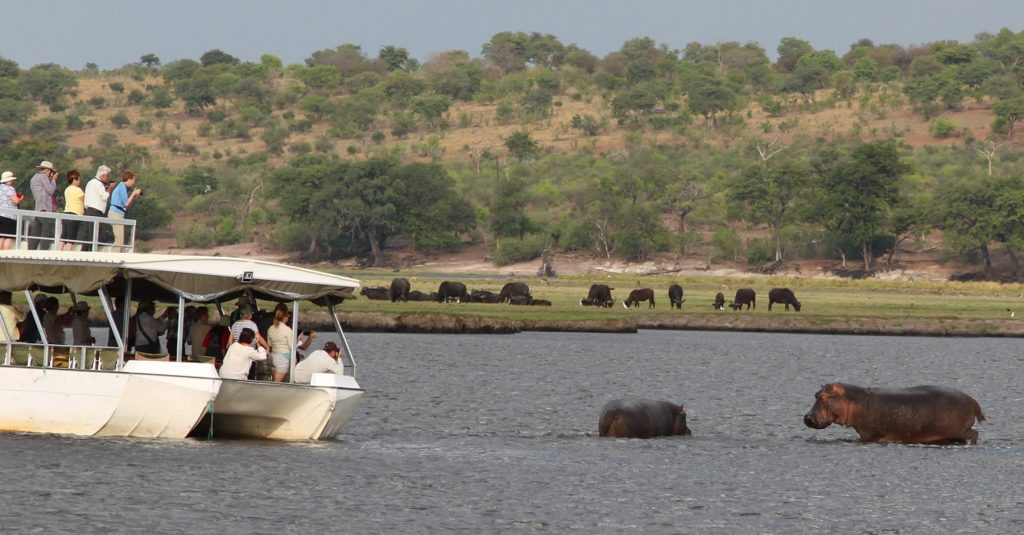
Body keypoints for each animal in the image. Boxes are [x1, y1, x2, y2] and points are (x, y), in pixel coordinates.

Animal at [803, 383, 986, 445]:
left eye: (823, 396)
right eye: (815, 394)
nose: (807, 417)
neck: (853, 398)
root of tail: (973, 400)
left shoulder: (870, 435)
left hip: (959, 430)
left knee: (974, 433)